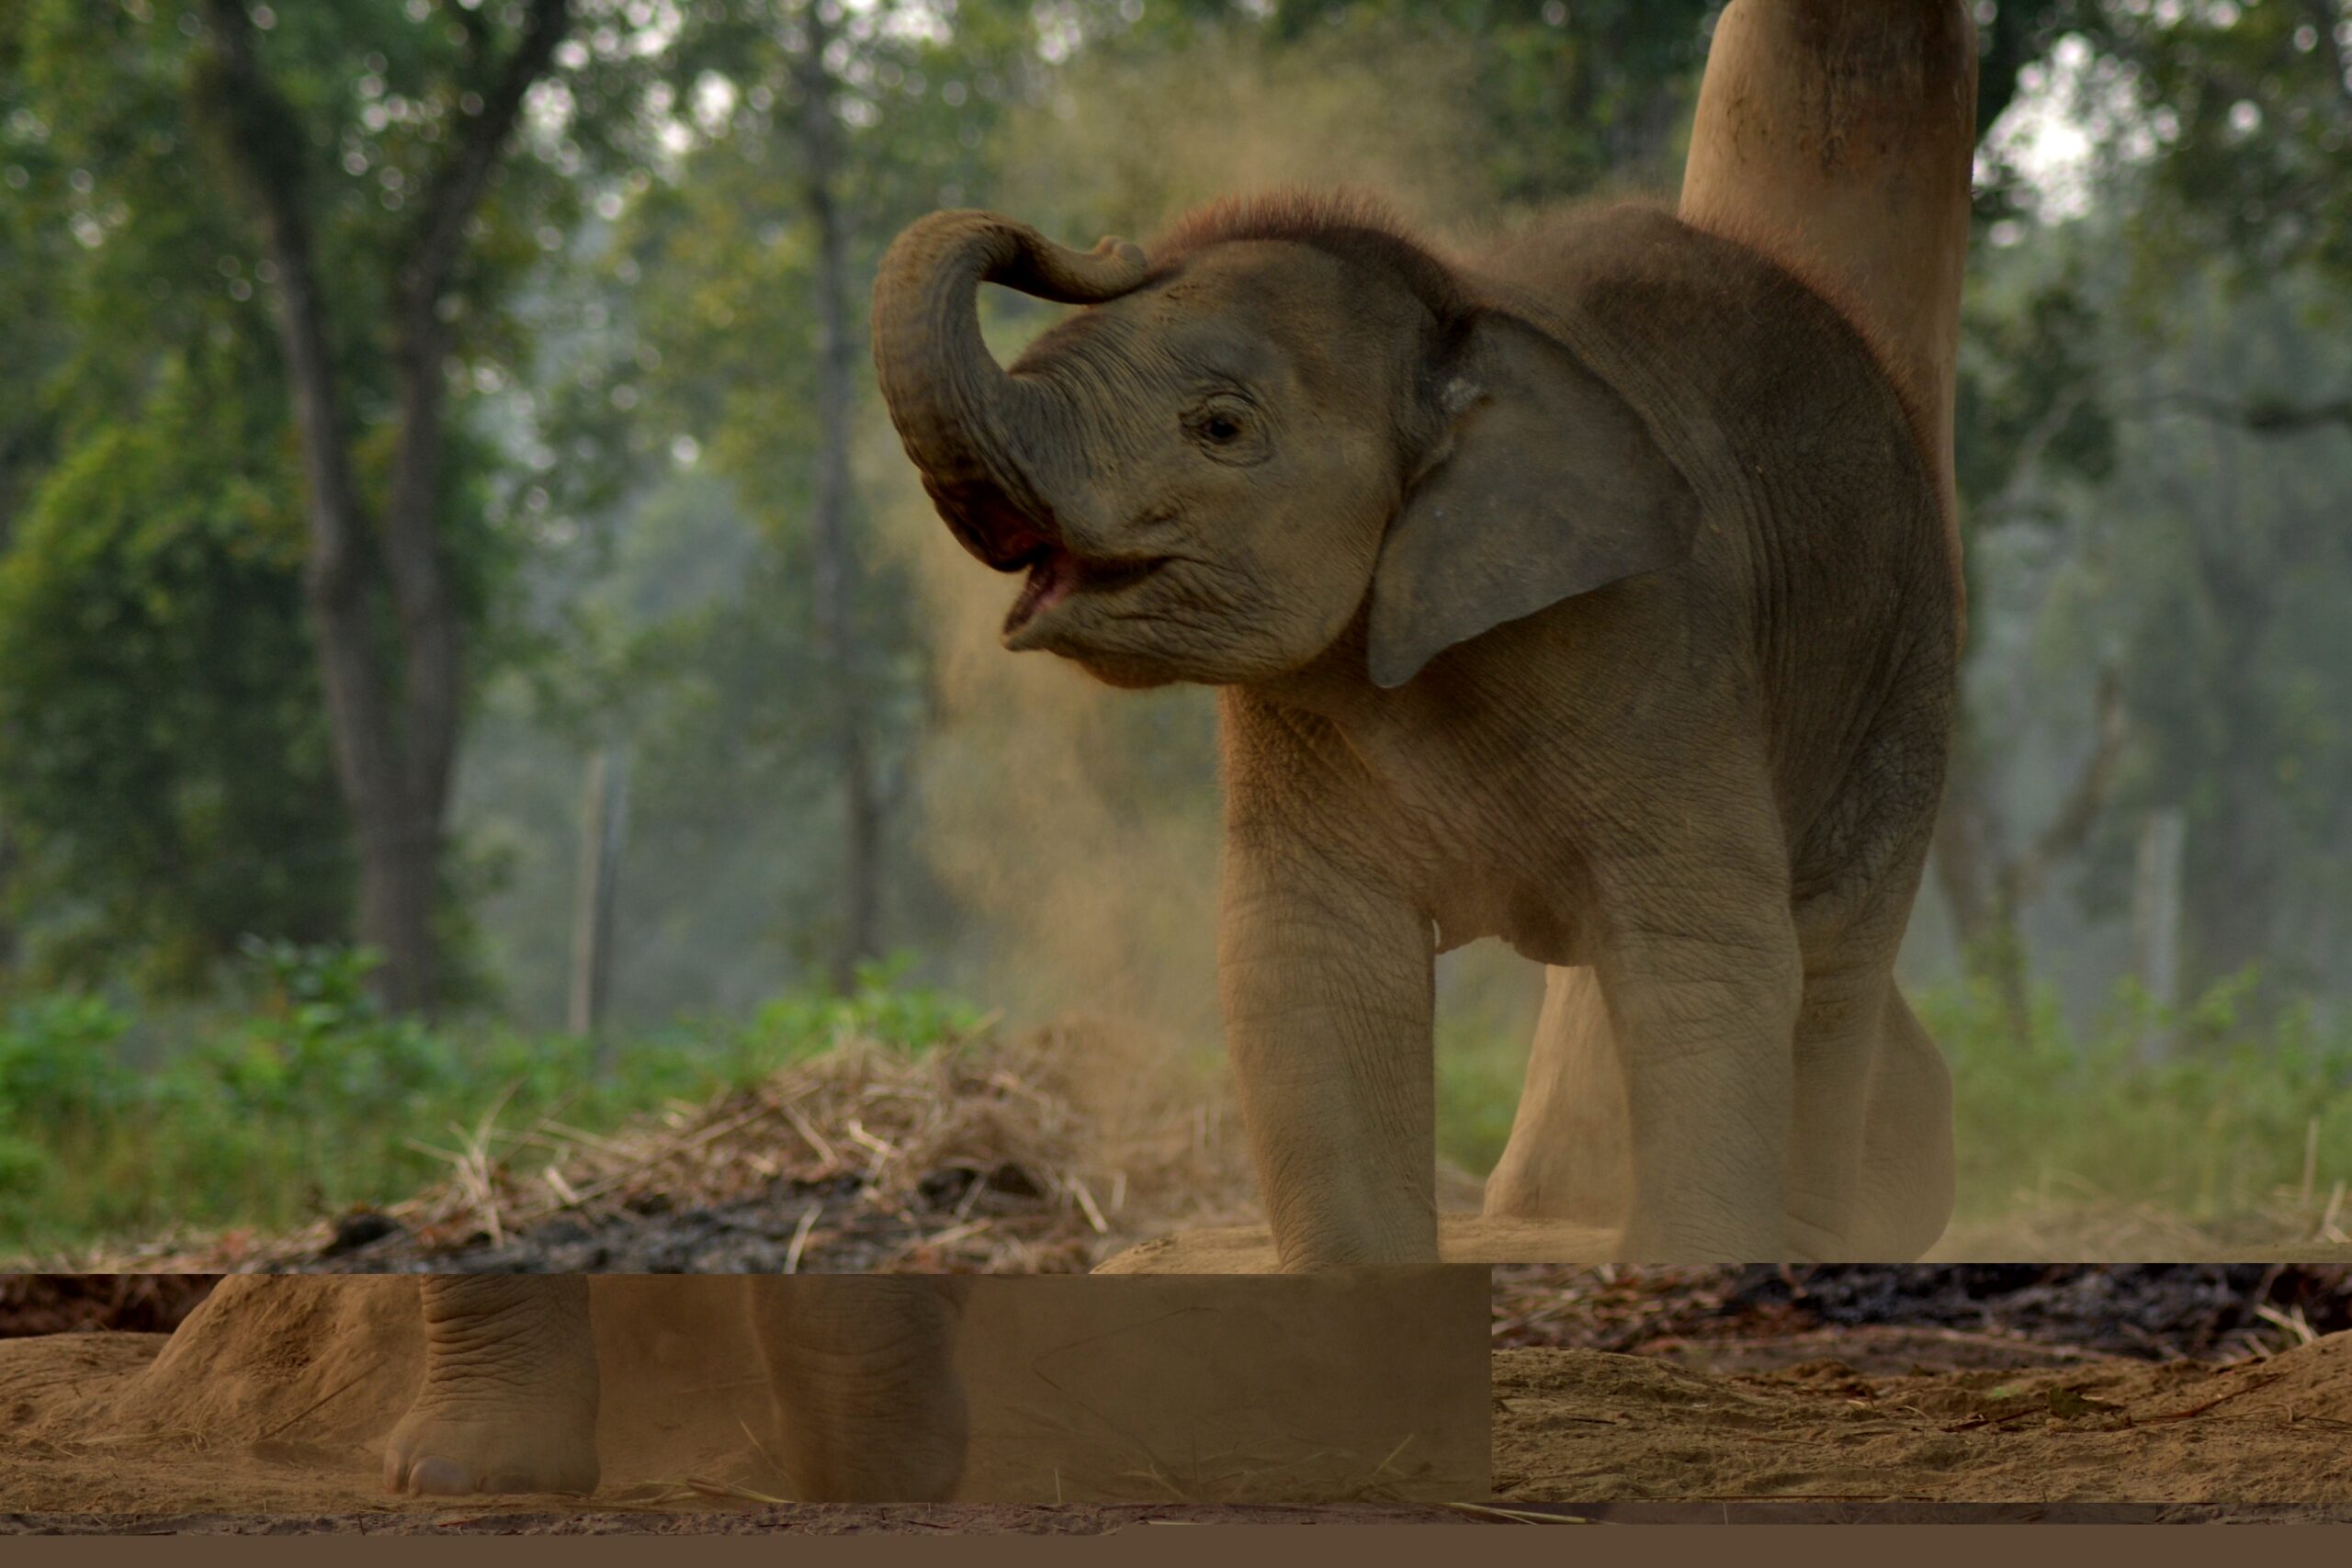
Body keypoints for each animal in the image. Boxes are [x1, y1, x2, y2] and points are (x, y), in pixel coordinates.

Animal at [868, 4, 1977, 1270]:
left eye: (1220, 428)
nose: (1107, 237)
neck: (1457, 323)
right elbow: (1311, 957)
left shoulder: (1662, 631)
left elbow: (1705, 948)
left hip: (1906, 648)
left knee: (1830, 950)